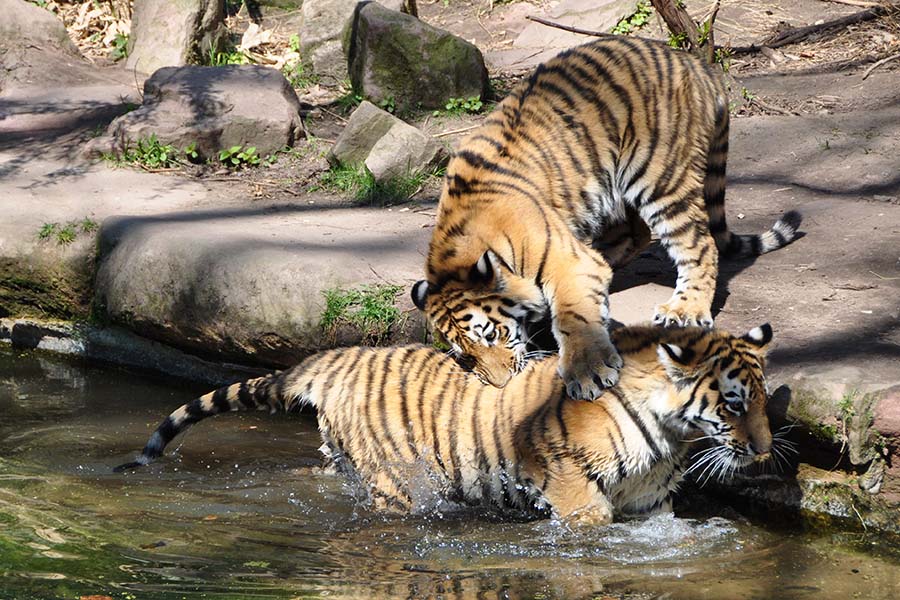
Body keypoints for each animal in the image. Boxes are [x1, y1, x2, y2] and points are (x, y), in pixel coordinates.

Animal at [116, 323, 791, 525]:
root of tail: (338, 357)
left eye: (762, 402)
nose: (764, 450)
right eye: (733, 405)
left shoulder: (650, 502)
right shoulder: (573, 487)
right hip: (397, 482)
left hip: (341, 463)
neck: (669, 436)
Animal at [410, 36, 801, 401]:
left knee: (698, 243)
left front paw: (588, 373)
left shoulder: (568, 262)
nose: (500, 384)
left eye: (491, 334)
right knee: (634, 234)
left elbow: (574, 317)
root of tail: (697, 65)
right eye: (466, 356)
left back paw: (685, 309)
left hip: (662, 177)